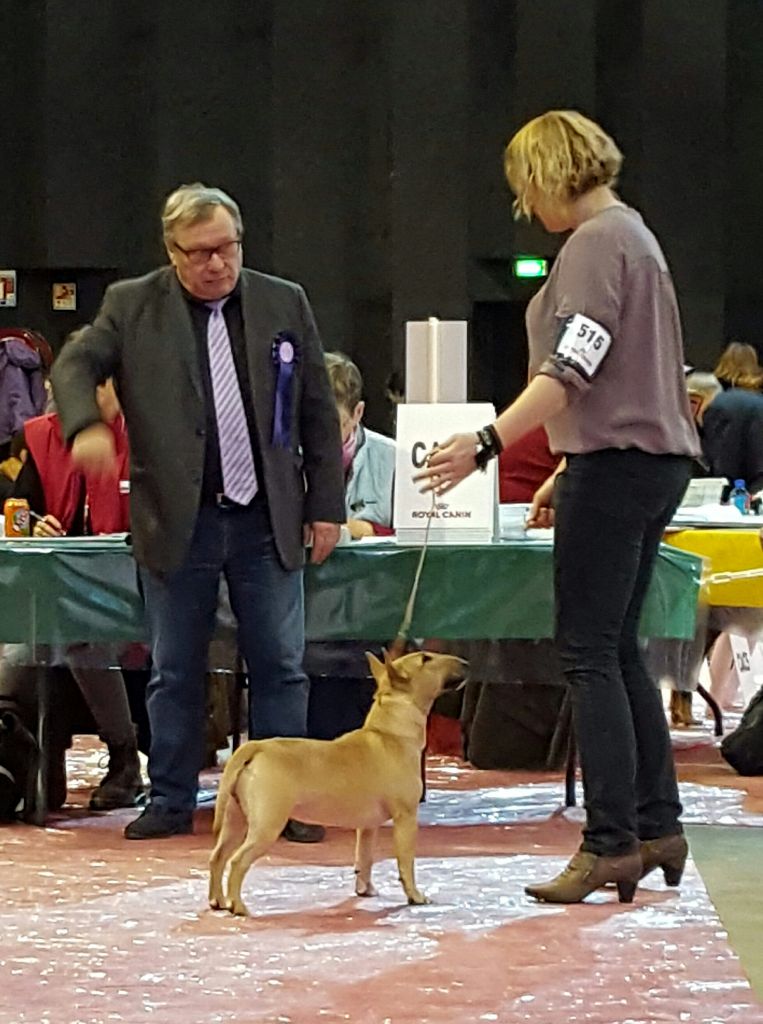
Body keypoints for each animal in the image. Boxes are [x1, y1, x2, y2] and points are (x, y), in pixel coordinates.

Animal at [208, 648, 466, 916]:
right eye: (426, 659)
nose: (466, 663)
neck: (389, 732)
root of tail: (254, 747)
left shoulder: (367, 826)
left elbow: (364, 857)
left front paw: (365, 890)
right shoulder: (406, 817)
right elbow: (406, 861)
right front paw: (415, 895)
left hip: (234, 819)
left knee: (218, 856)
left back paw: (218, 901)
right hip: (267, 825)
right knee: (237, 861)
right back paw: (238, 906)